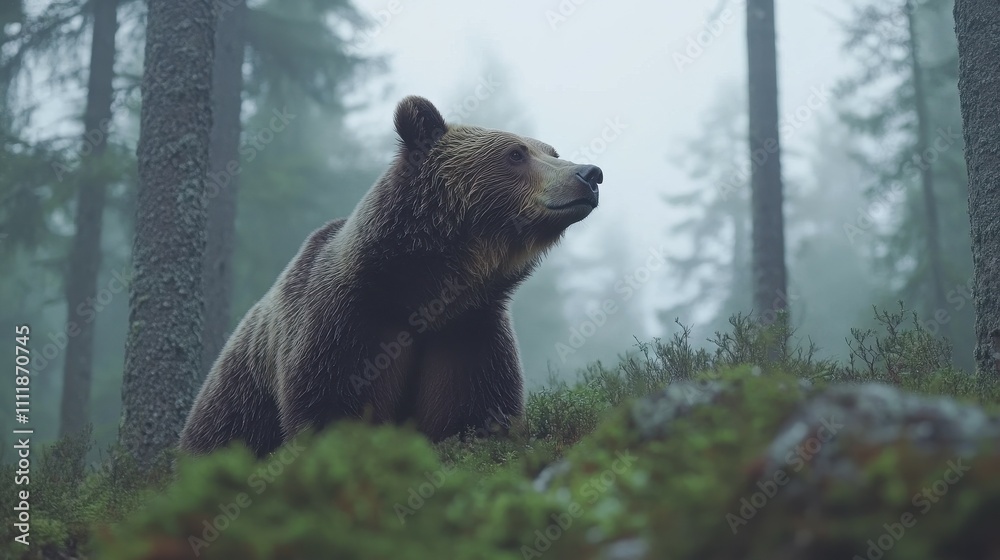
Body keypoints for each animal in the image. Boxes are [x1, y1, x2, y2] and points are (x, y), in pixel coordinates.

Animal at [179, 96, 603, 457]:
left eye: (551, 151)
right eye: (515, 153)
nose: (590, 174)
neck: (422, 290)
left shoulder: (467, 332)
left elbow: (474, 413)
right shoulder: (347, 325)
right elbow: (332, 407)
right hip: (232, 414)